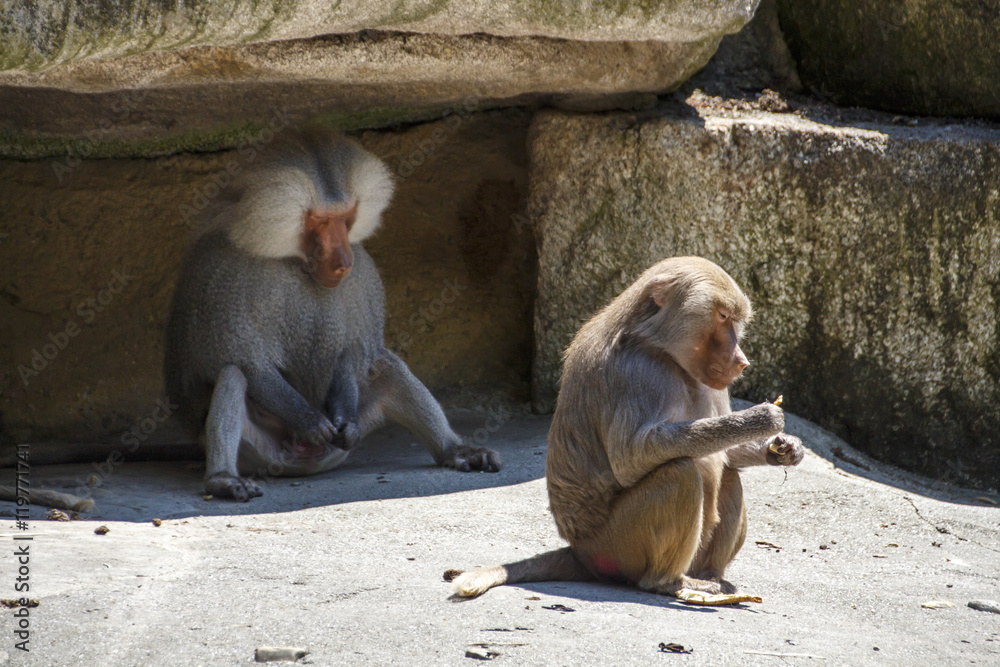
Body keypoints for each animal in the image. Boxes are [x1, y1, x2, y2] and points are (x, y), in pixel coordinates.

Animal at [164, 128, 501, 501]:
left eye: (347, 216)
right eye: (321, 220)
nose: (343, 263)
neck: (295, 262)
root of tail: (304, 464)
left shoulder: (363, 275)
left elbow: (353, 353)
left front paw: (346, 420)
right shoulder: (224, 279)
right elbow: (248, 363)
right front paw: (310, 422)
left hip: (340, 448)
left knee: (385, 366)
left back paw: (457, 451)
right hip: (260, 450)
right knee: (233, 376)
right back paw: (223, 479)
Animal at [446, 257, 803, 598]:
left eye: (734, 320)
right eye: (723, 316)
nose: (741, 362)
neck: (659, 348)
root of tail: (580, 552)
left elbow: (725, 455)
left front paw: (785, 449)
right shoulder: (637, 373)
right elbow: (630, 458)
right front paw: (758, 418)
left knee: (727, 474)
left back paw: (711, 576)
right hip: (617, 545)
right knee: (681, 473)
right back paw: (668, 582)